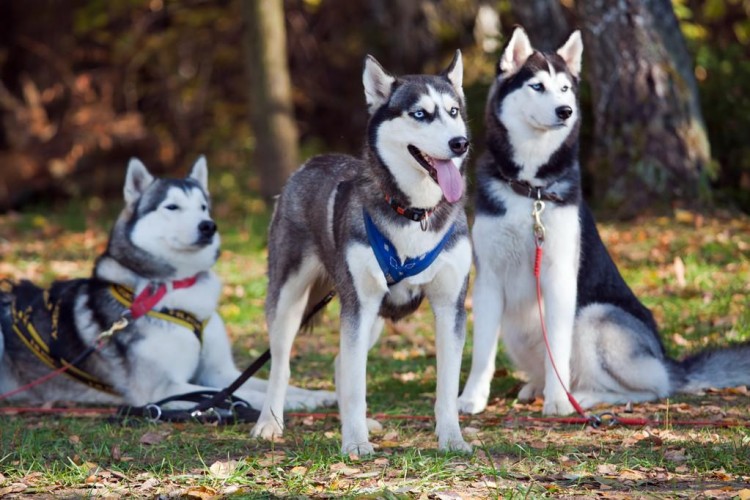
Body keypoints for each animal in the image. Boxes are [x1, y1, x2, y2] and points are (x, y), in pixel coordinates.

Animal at [0, 158, 334, 412]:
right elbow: (242, 394)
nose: (208, 226)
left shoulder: (220, 371)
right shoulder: (161, 388)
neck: (177, 286)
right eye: (172, 207)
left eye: (203, 207)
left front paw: (317, 395)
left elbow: (263, 383)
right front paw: (289, 405)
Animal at [253, 52, 476, 456]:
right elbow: (357, 383)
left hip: (372, 316)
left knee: (341, 362)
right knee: (282, 363)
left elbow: (447, 386)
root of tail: (310, 163)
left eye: (453, 111)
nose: (460, 143)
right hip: (291, 298)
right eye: (420, 114)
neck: (414, 213)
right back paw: (270, 423)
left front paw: (452, 438)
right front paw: (355, 443)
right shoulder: (359, 304)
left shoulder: (450, 305)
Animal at [458, 28, 750, 418]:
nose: (565, 111)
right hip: (516, 330)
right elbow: (482, 354)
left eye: (565, 88)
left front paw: (557, 401)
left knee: (648, 389)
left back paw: (581, 397)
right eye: (537, 86)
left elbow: (558, 351)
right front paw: (472, 398)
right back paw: (538, 386)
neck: (531, 188)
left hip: (595, 318)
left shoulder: (560, 278)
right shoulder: (489, 279)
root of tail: (668, 363)